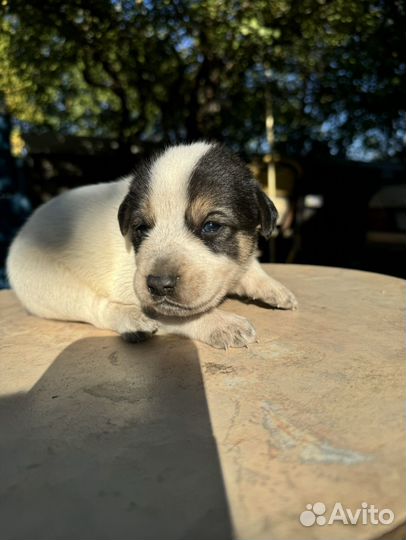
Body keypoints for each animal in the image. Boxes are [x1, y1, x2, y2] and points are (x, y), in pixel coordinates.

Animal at [7, 141, 298, 348]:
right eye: (141, 228)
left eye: (211, 226)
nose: (159, 284)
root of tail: (22, 232)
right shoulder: (133, 287)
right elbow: (177, 315)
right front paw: (221, 324)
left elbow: (250, 264)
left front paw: (274, 288)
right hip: (48, 284)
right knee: (94, 307)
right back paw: (133, 323)